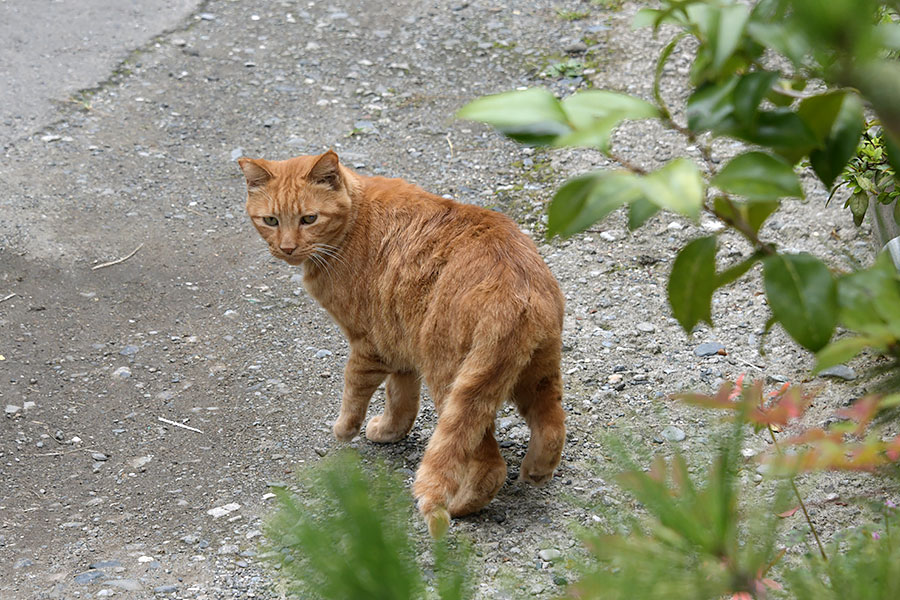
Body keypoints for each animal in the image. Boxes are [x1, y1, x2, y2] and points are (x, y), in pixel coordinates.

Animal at [237, 151, 564, 536]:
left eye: (309, 219)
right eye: (271, 220)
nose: (287, 248)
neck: (353, 221)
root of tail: (517, 286)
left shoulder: (368, 344)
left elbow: (353, 389)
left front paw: (345, 429)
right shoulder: (400, 344)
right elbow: (401, 399)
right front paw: (391, 432)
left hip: (451, 380)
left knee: (488, 464)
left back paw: (461, 506)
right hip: (537, 372)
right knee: (552, 427)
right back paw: (536, 471)